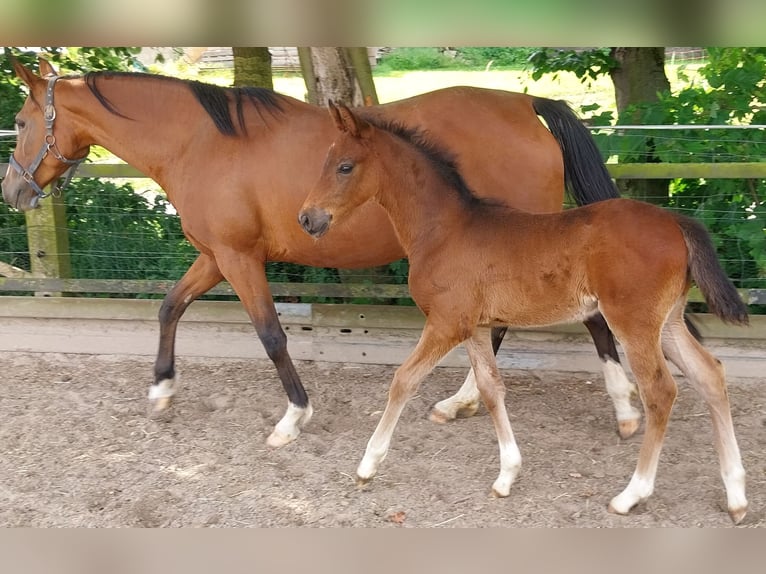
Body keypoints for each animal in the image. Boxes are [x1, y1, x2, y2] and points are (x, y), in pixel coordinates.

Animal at [298, 104, 752, 528]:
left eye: (344, 166)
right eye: (325, 161)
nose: (307, 218)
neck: (443, 230)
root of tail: (677, 221)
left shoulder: (446, 323)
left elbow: (403, 380)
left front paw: (367, 465)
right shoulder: (475, 327)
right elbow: (490, 388)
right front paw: (506, 476)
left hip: (634, 323)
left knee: (660, 392)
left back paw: (631, 494)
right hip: (669, 323)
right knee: (711, 374)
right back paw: (736, 496)